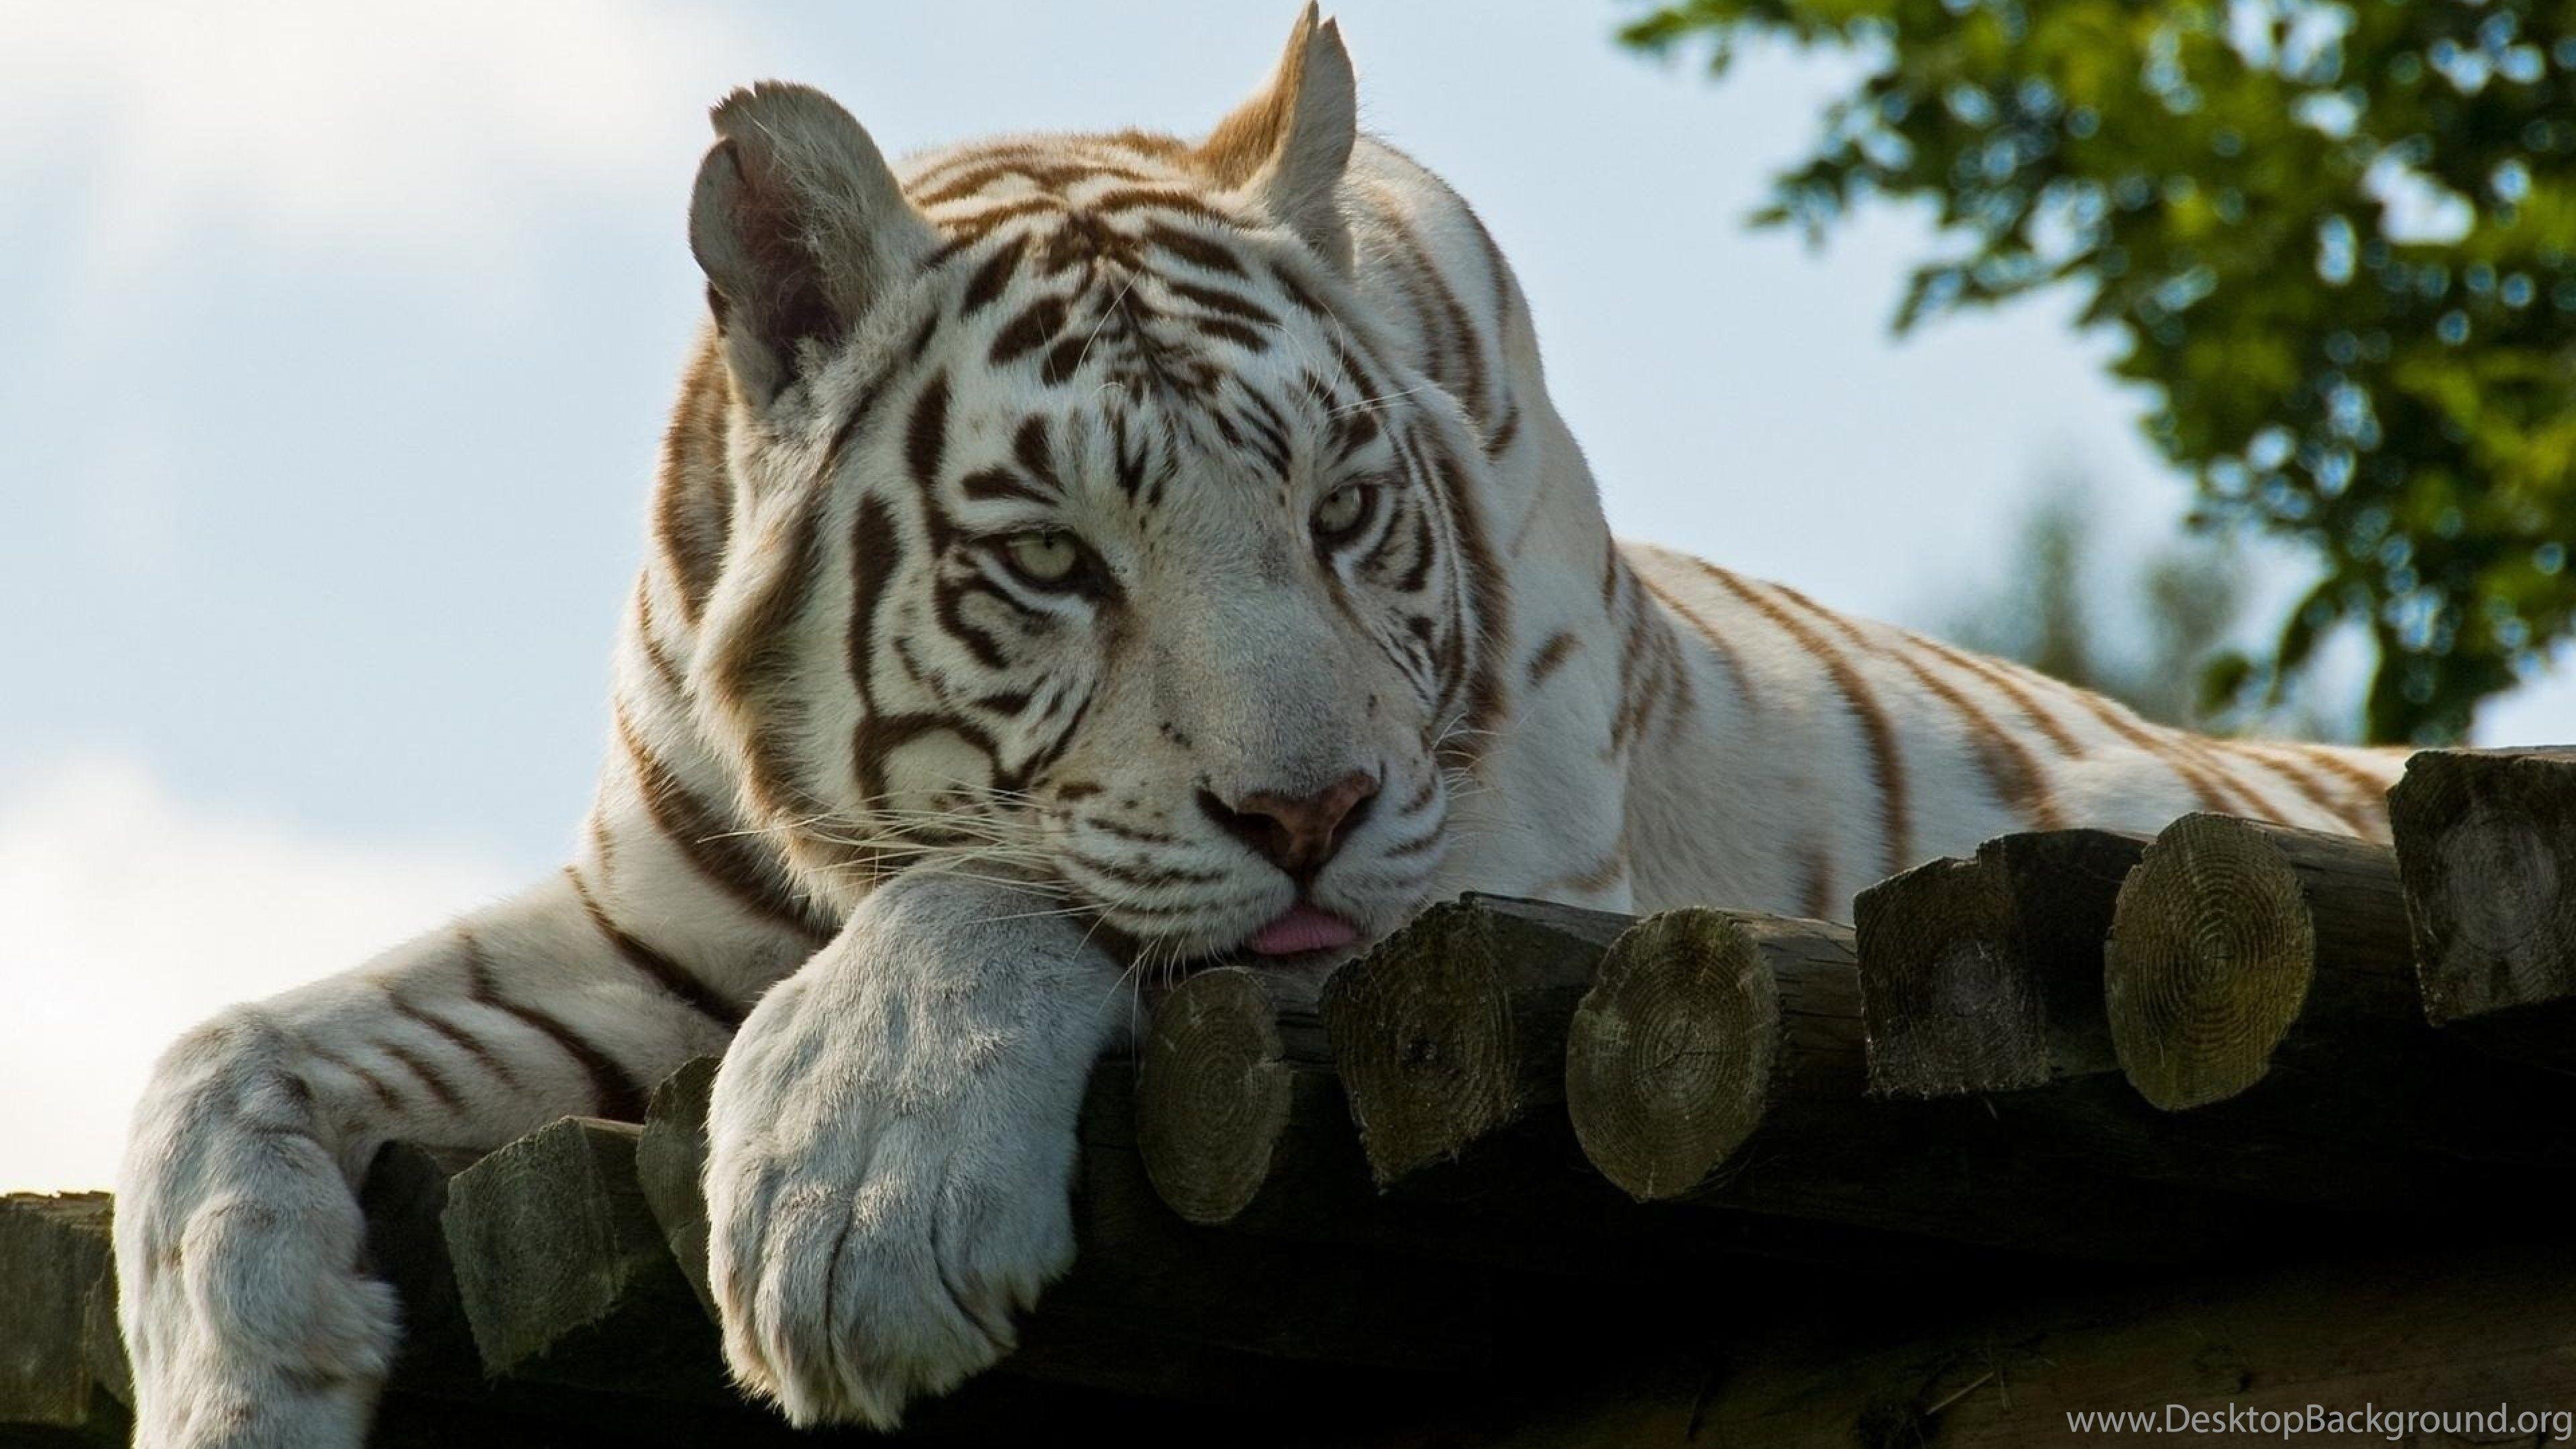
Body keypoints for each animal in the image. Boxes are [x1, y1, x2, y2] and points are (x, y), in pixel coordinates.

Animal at [113, 9, 2405, 1444]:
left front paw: (850, 1205)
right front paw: (237, 1380)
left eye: (1336, 511)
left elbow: (1026, 900)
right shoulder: (649, 928)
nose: (1307, 806)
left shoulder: (1485, 880)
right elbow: (218, 1054)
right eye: (1052, 561)